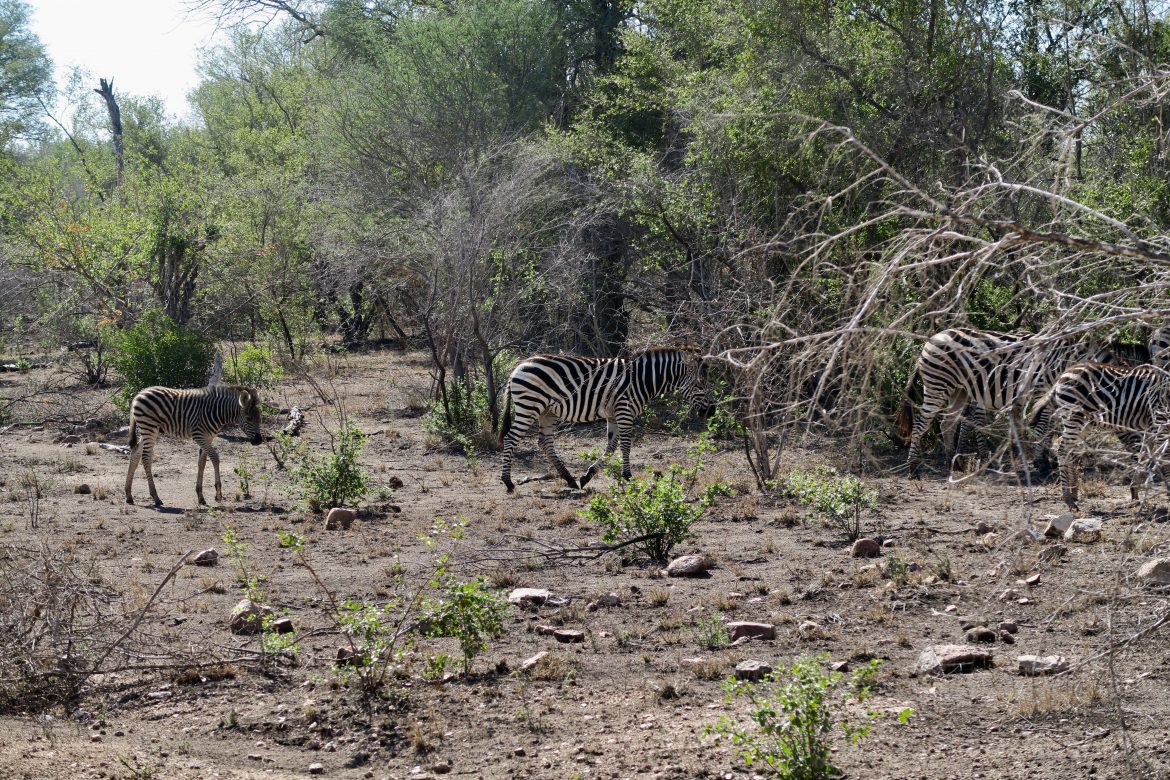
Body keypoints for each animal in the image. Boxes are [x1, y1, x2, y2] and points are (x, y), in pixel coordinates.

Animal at [126, 383, 266, 507]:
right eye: (248, 418)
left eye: (260, 418)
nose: (259, 441)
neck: (216, 411)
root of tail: (140, 393)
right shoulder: (198, 435)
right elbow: (215, 458)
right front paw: (218, 494)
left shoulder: (208, 437)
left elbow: (202, 463)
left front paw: (200, 496)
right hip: (149, 427)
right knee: (145, 458)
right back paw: (155, 497)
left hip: (149, 430)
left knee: (135, 453)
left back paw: (129, 495)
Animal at [496, 348, 711, 493]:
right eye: (700, 384)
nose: (712, 411)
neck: (641, 380)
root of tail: (517, 368)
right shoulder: (625, 410)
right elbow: (625, 445)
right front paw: (628, 477)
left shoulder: (614, 415)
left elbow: (611, 447)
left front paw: (587, 476)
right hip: (529, 406)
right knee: (511, 438)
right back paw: (508, 482)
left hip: (547, 411)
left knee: (545, 443)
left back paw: (570, 479)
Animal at [889, 327, 1146, 477]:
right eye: (1138, 422)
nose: (1145, 461)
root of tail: (932, 337)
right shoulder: (1043, 392)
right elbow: (1043, 428)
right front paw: (1042, 464)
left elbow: (1050, 430)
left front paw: (1048, 461)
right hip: (937, 384)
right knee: (922, 422)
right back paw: (914, 468)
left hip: (959, 391)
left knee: (946, 423)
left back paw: (955, 463)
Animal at [1034, 364, 1170, 512]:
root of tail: (1062, 376)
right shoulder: (1160, 422)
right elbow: (1163, 458)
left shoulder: (1152, 427)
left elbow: (1145, 455)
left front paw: (1135, 492)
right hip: (1074, 417)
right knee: (1063, 450)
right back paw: (1068, 499)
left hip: (1084, 423)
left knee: (1066, 447)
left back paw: (1074, 492)